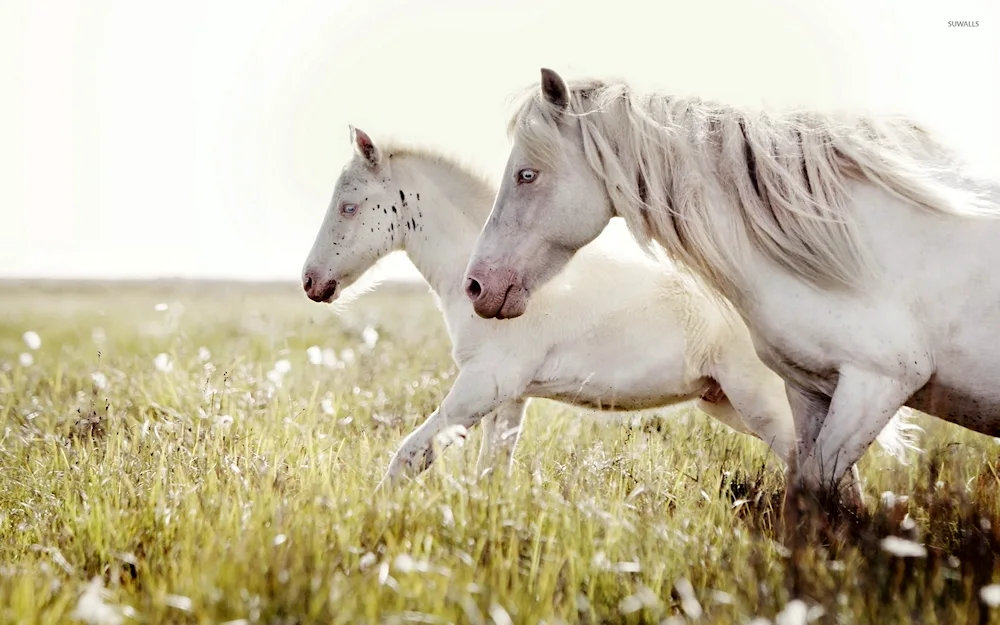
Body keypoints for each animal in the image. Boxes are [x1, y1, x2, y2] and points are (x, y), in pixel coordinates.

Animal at [300, 125, 916, 488]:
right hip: (727, 403)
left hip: (760, 401)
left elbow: (408, 456)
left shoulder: (484, 384)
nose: (311, 282)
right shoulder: (510, 396)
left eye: (350, 206)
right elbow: (490, 473)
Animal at [462, 68, 1000, 508]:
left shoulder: (876, 384)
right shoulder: (810, 391)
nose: (476, 286)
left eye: (527, 174)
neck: (842, 245)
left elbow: (818, 493)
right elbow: (817, 495)